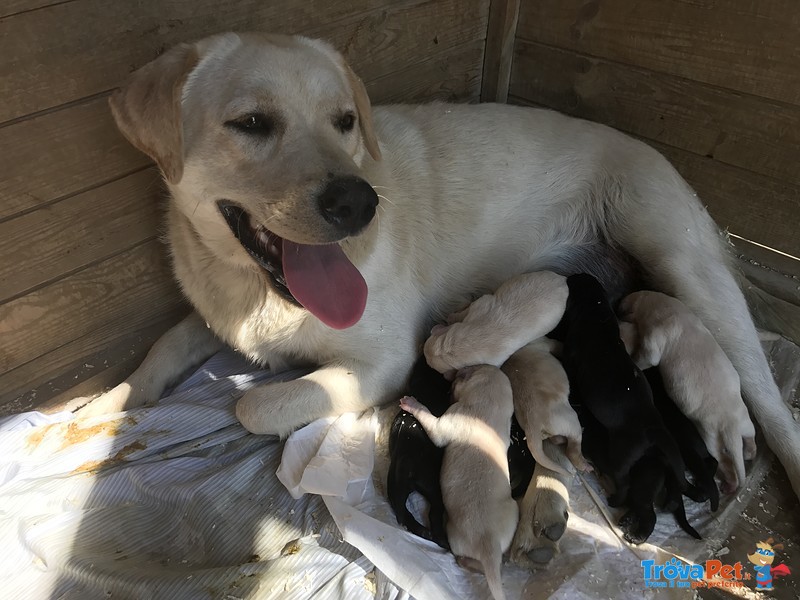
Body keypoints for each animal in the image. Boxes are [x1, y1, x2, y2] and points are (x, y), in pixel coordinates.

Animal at [400, 366, 520, 600]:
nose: (453, 372)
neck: (489, 409)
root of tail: (489, 543)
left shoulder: (448, 420)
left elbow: (431, 422)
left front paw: (411, 403)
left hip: (454, 535)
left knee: (466, 558)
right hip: (514, 512)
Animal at [620, 290, 756, 492]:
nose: (619, 304)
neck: (660, 304)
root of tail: (731, 423)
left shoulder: (654, 337)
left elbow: (648, 358)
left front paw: (635, 362)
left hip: (711, 436)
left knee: (723, 461)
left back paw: (730, 484)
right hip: (745, 421)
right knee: (751, 437)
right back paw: (749, 453)